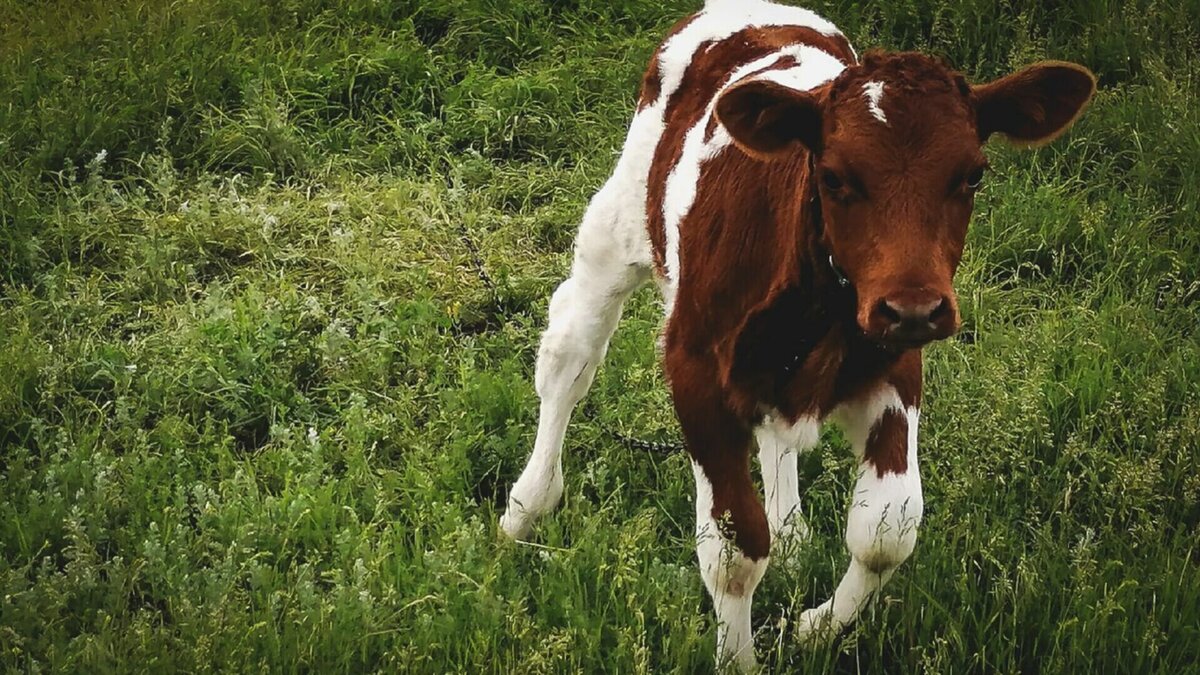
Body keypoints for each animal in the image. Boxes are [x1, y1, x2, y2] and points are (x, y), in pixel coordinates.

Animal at [496, 0, 1099, 662]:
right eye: (834, 176)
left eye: (973, 175)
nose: (915, 308)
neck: (817, 310)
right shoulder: (695, 371)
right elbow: (734, 552)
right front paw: (737, 660)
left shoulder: (892, 369)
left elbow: (886, 530)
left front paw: (814, 626)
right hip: (619, 221)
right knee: (569, 355)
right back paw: (526, 507)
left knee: (776, 440)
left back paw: (791, 535)